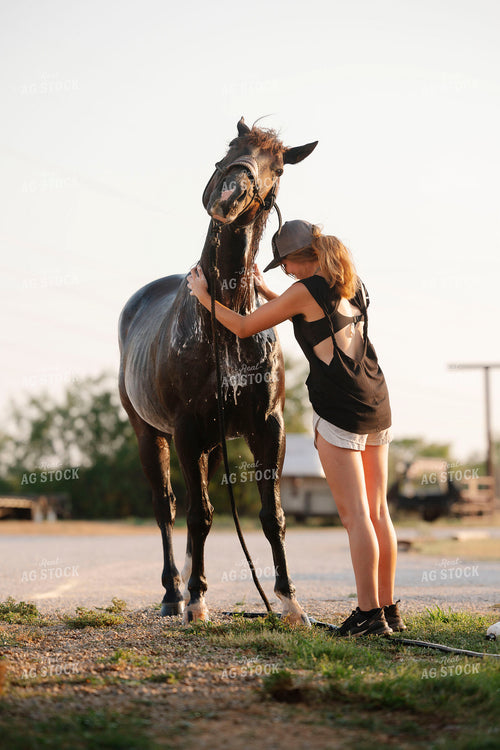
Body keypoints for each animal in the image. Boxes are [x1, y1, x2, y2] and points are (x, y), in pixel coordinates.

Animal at [118, 117, 317, 624]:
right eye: (228, 149)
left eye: (279, 165)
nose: (229, 195)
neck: (226, 321)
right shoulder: (187, 431)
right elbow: (200, 515)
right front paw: (196, 601)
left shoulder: (268, 428)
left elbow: (272, 515)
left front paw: (289, 602)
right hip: (150, 434)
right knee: (167, 509)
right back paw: (175, 594)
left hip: (209, 445)